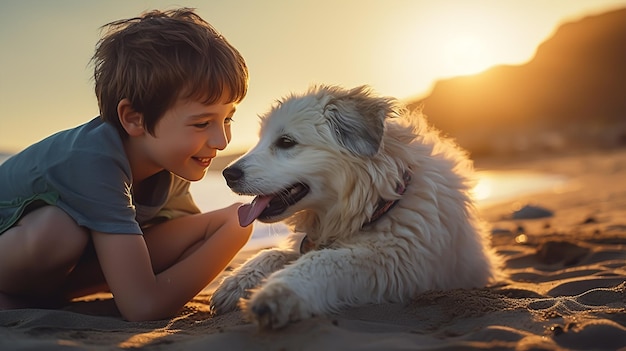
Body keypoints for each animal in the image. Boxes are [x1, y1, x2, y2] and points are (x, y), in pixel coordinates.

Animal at [207, 85, 500, 330]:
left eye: (286, 142)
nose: (227, 174)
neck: (377, 201)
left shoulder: (391, 262)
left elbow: (323, 261)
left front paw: (277, 293)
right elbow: (272, 253)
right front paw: (236, 283)